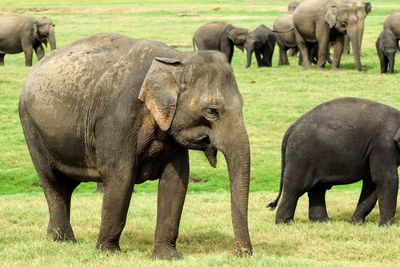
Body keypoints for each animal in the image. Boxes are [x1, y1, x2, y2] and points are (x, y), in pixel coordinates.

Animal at [18, 33, 253, 260]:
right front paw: (108, 253)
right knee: (52, 181)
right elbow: (121, 176)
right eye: (212, 111)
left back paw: (53, 237)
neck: (176, 58)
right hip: (31, 129)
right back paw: (66, 241)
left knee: (66, 185)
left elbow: (176, 180)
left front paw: (167, 257)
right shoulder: (117, 119)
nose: (240, 254)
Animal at [268, 97, 400, 227]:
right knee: (296, 188)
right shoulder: (384, 144)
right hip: (301, 155)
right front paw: (389, 226)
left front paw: (355, 223)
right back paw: (285, 223)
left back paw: (322, 221)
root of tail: (292, 127)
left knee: (317, 188)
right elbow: (385, 179)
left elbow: (372, 182)